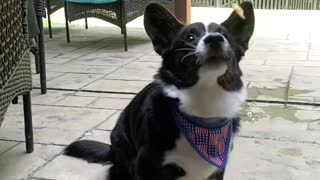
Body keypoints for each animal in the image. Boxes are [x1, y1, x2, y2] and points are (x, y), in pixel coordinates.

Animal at [65, 2, 255, 179]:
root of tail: (112, 150)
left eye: (225, 35)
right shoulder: (146, 164)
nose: (215, 39)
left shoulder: (216, 171)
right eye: (190, 37)